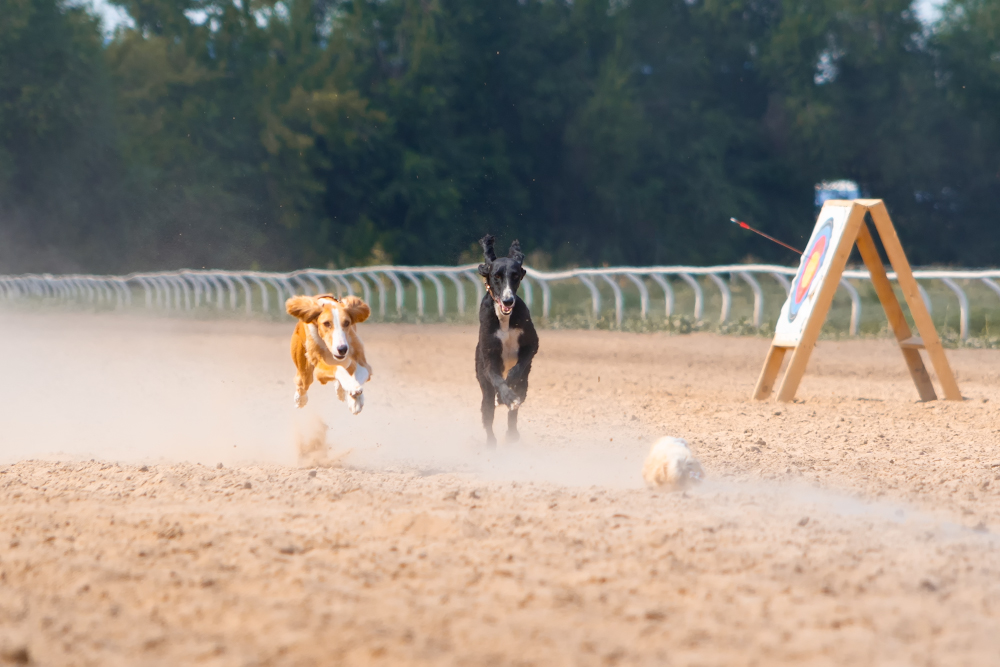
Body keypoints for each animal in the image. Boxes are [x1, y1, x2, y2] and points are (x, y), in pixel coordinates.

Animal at [474, 235, 540, 448]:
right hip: (484, 388)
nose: (508, 300)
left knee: (515, 409)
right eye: (497, 276)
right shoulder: (489, 359)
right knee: (487, 411)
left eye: (516, 276)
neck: (505, 319)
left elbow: (517, 369)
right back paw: (491, 443)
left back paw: (512, 434)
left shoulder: (532, 344)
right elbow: (497, 379)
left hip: (525, 384)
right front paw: (507, 396)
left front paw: (509, 389)